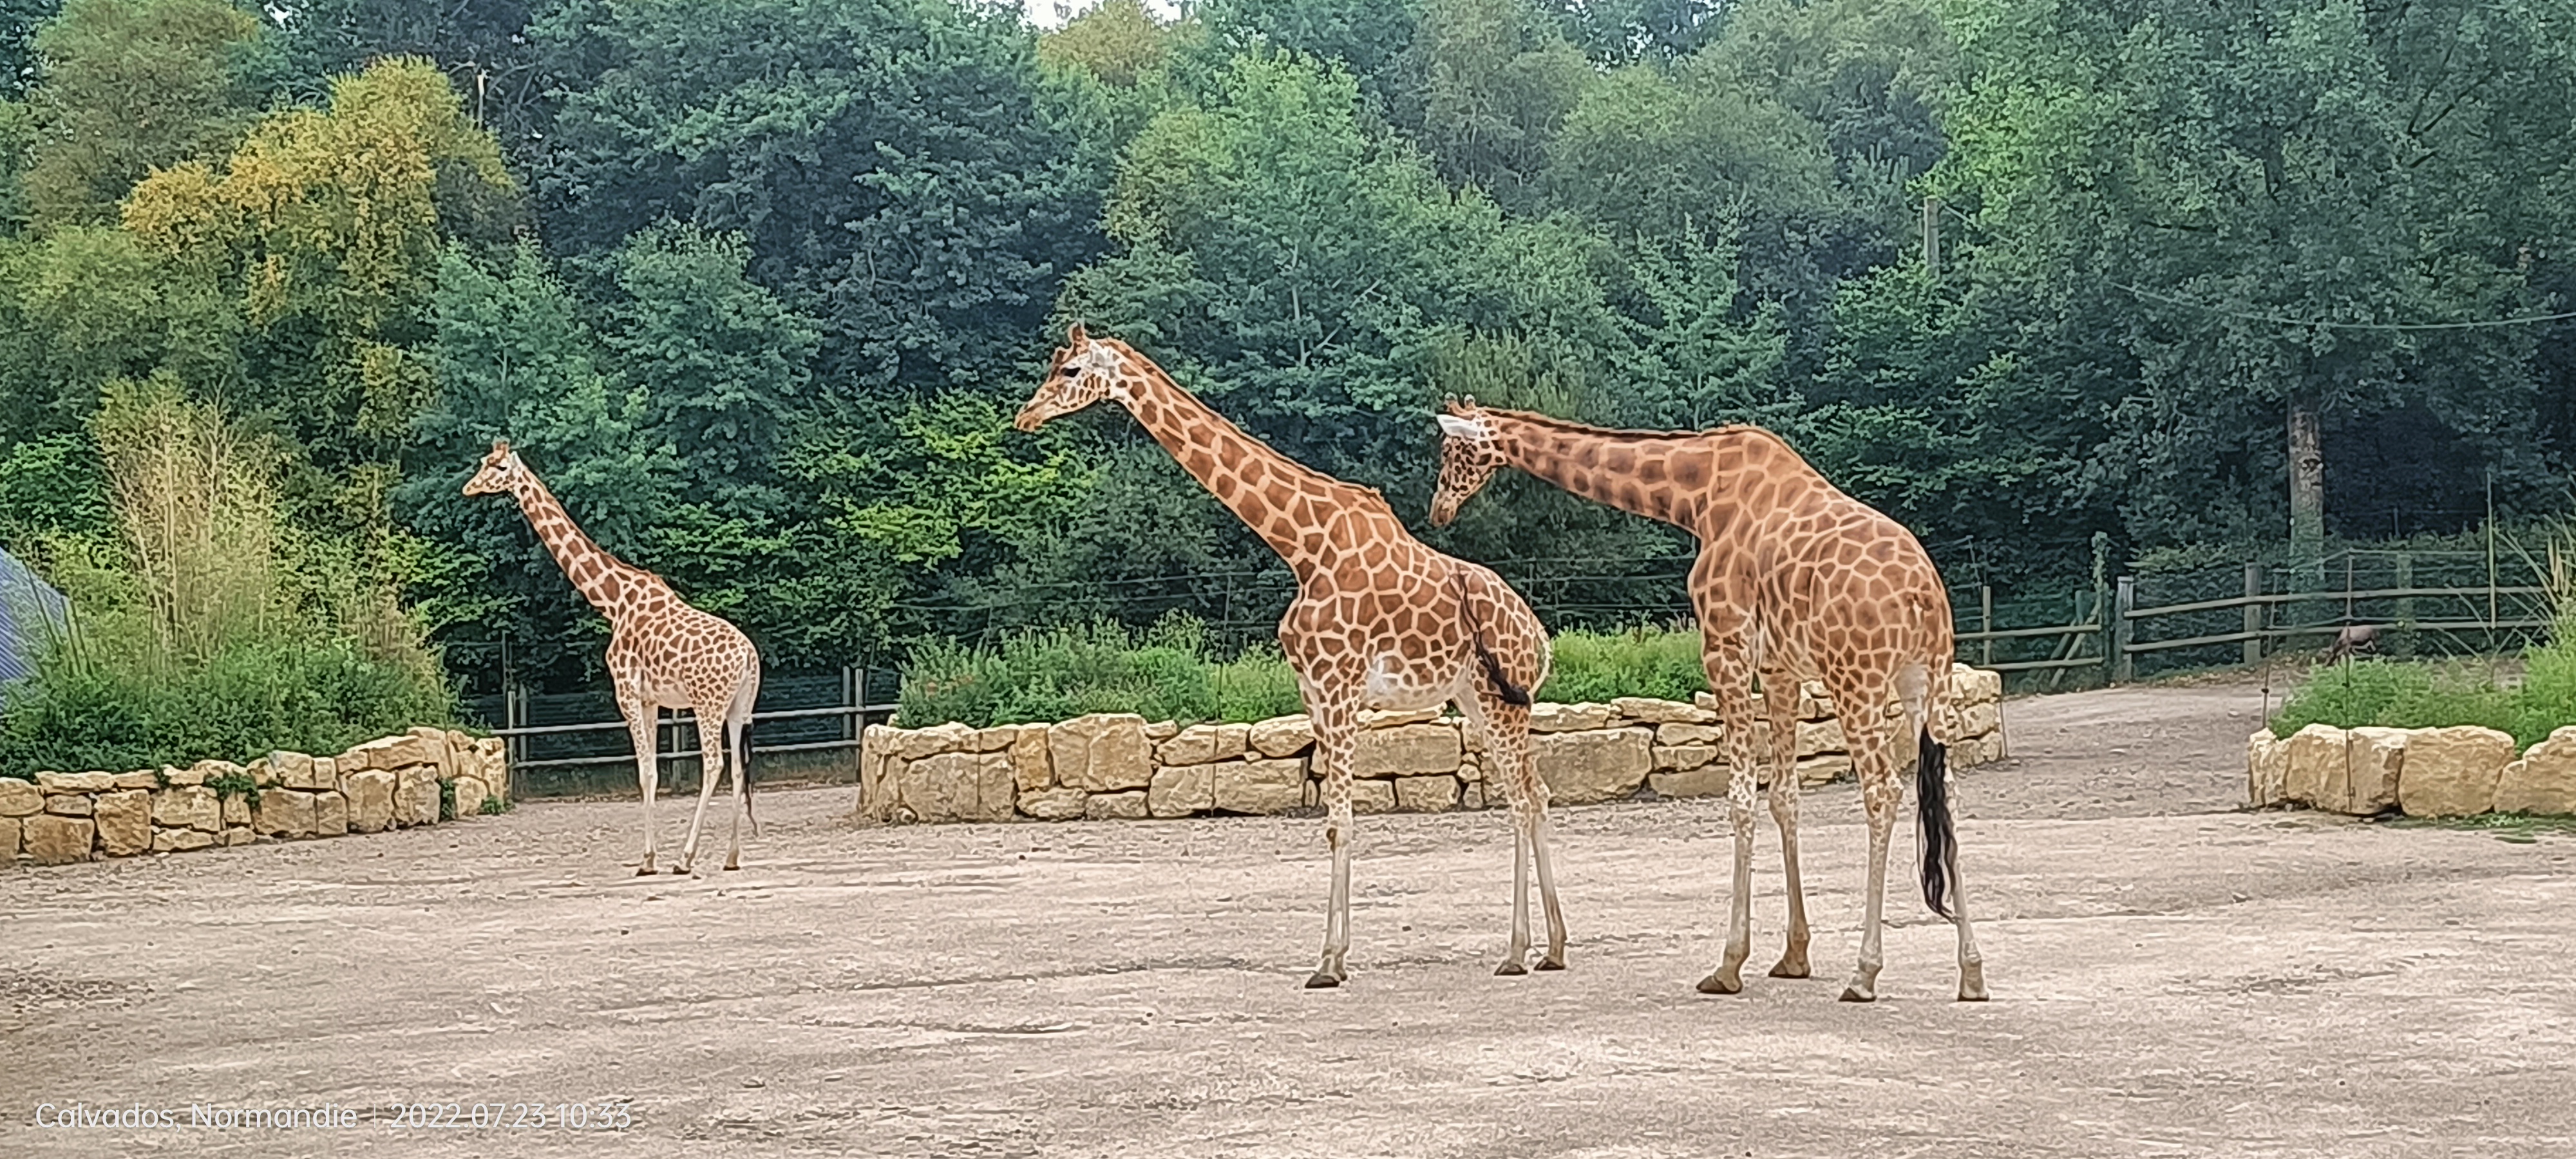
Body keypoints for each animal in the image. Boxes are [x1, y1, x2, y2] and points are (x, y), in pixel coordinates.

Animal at [464, 440, 763, 877]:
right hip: (740, 705)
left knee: (714, 766)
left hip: (707, 703)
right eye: (483, 462)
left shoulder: (627, 692)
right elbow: (652, 770)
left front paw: (648, 860)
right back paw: (732, 856)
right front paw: (651, 856)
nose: (469, 487)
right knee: (740, 769)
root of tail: (748, 657)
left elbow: (646, 772)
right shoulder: (651, 698)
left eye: (499, 467)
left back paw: (685, 858)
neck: (613, 602)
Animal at [1016, 325, 1564, 988]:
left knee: (1524, 800)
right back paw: (1549, 948)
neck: (1302, 546)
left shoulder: (1339, 685)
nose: (1025, 416)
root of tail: (1539, 635)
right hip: (1476, 698)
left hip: (1501, 697)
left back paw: (1519, 950)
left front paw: (1328, 962)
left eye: (1070, 370)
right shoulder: (1312, 691)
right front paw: (1337, 956)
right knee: (1533, 795)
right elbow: (1334, 819)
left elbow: (1339, 821)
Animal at [1429, 401, 1985, 1003]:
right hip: (1927, 681)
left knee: (1882, 792)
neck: (1694, 498)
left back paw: (1864, 974)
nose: (1438, 510)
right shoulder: (1779, 668)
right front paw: (1793, 956)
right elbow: (1783, 797)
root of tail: (1925, 595)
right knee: (1946, 791)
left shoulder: (1725, 650)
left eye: (1452, 451)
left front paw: (1728, 964)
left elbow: (1740, 798)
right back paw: (1971, 972)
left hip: (1856, 680)